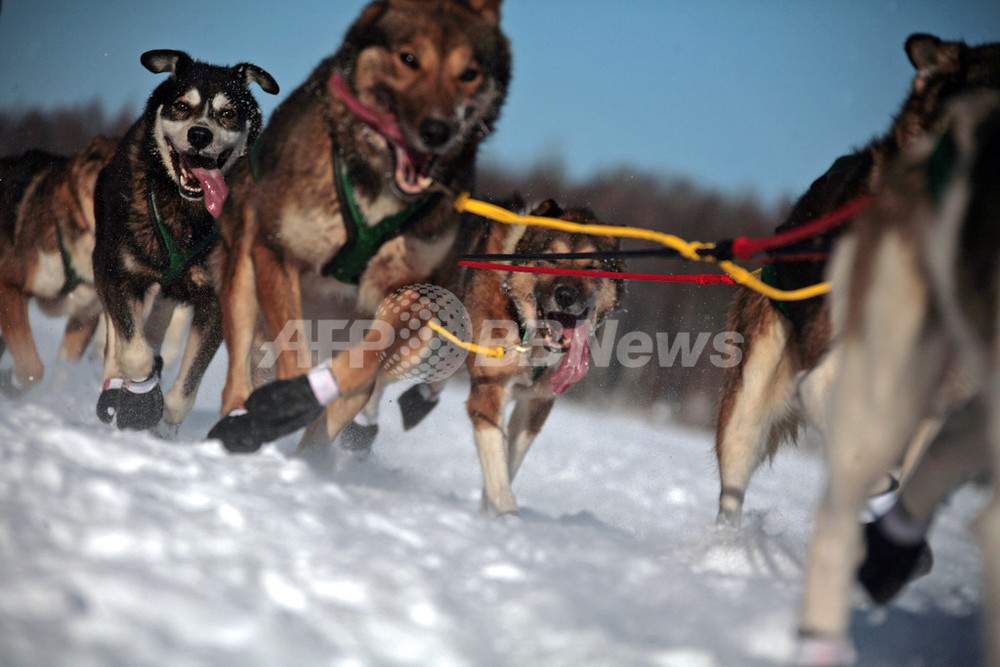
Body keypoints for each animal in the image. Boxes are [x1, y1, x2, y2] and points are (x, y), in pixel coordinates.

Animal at [93, 49, 278, 430]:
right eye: (181, 106)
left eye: (228, 113)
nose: (199, 134)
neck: (185, 212)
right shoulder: (115, 273)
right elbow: (134, 352)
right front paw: (141, 399)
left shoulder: (215, 302)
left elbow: (184, 391)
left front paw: (165, 423)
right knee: (117, 342)